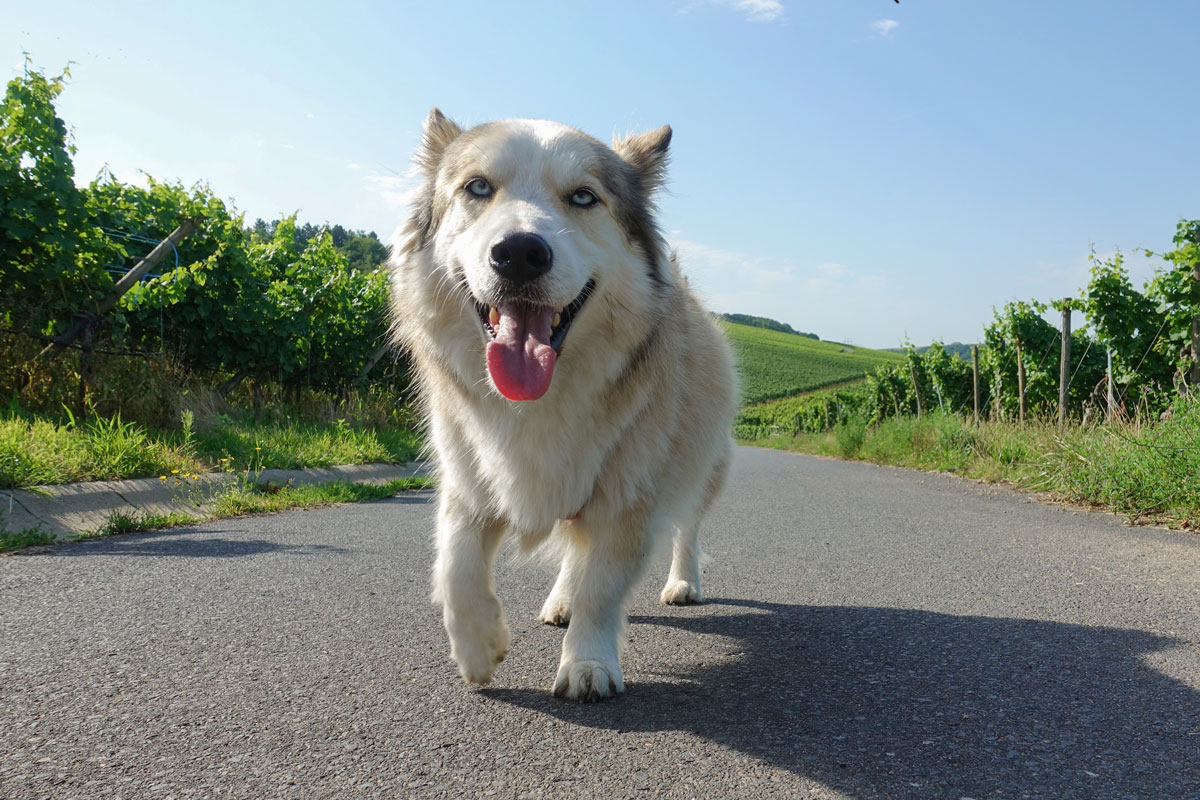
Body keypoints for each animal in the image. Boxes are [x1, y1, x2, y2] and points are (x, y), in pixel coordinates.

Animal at [388, 107, 734, 700]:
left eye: (583, 197)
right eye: (477, 187)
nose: (519, 254)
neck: (537, 399)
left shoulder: (628, 495)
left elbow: (603, 586)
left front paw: (589, 664)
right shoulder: (469, 476)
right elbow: (455, 563)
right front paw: (477, 649)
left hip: (701, 463)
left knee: (686, 526)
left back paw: (683, 582)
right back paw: (560, 602)